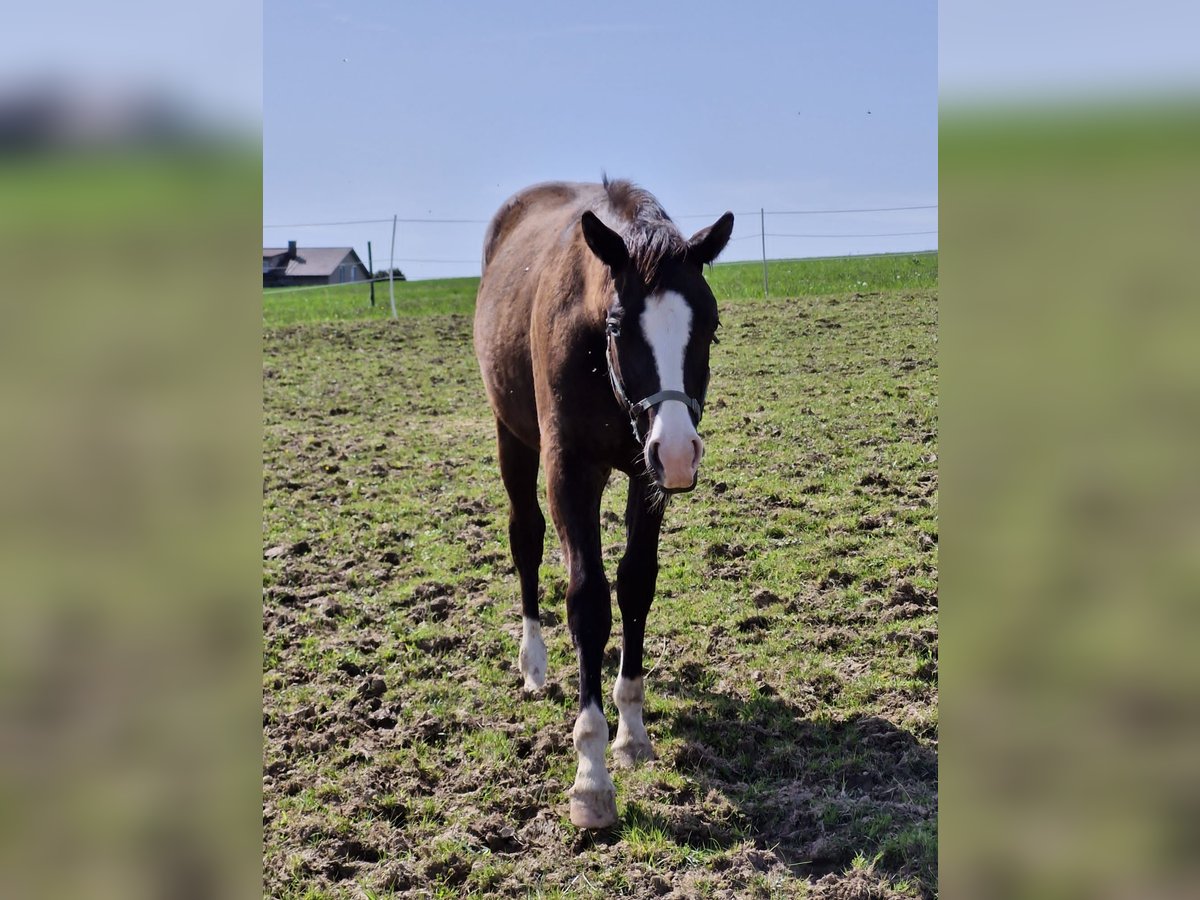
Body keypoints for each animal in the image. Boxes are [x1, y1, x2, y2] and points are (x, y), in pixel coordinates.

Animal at [475, 177, 734, 830]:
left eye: (711, 326)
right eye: (618, 326)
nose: (679, 450)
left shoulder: (648, 475)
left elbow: (635, 584)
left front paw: (632, 732)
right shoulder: (570, 473)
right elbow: (588, 600)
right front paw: (590, 775)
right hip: (511, 436)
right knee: (525, 537)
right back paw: (534, 664)